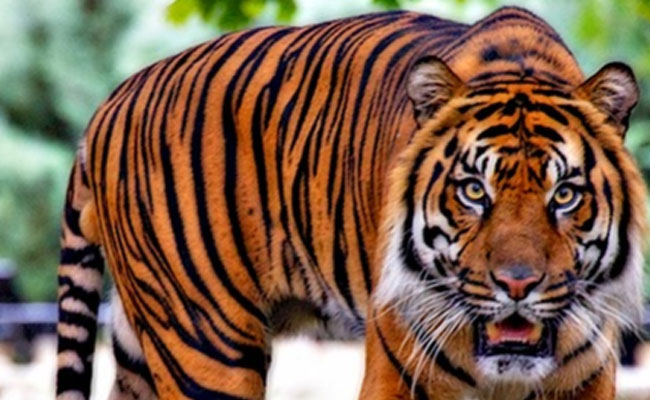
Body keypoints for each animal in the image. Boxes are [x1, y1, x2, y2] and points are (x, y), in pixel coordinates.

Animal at [55, 6, 646, 400]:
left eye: (564, 194)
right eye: (474, 190)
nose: (517, 285)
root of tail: (110, 102)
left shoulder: (590, 378)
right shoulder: (399, 374)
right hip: (204, 342)